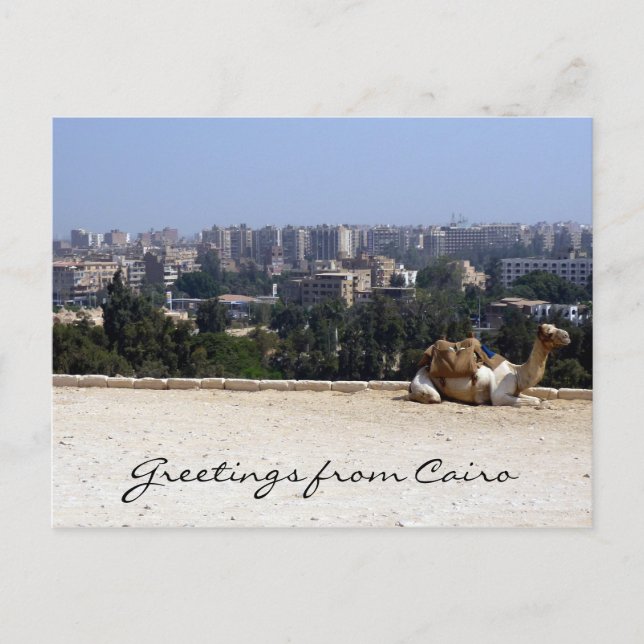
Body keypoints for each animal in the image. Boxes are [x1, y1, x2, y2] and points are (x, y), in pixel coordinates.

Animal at [408, 323, 571, 407]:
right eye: (549, 332)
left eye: (555, 326)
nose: (567, 336)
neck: (516, 373)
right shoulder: (499, 396)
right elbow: (536, 401)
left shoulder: (516, 392)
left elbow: (538, 399)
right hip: (424, 384)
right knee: (432, 396)